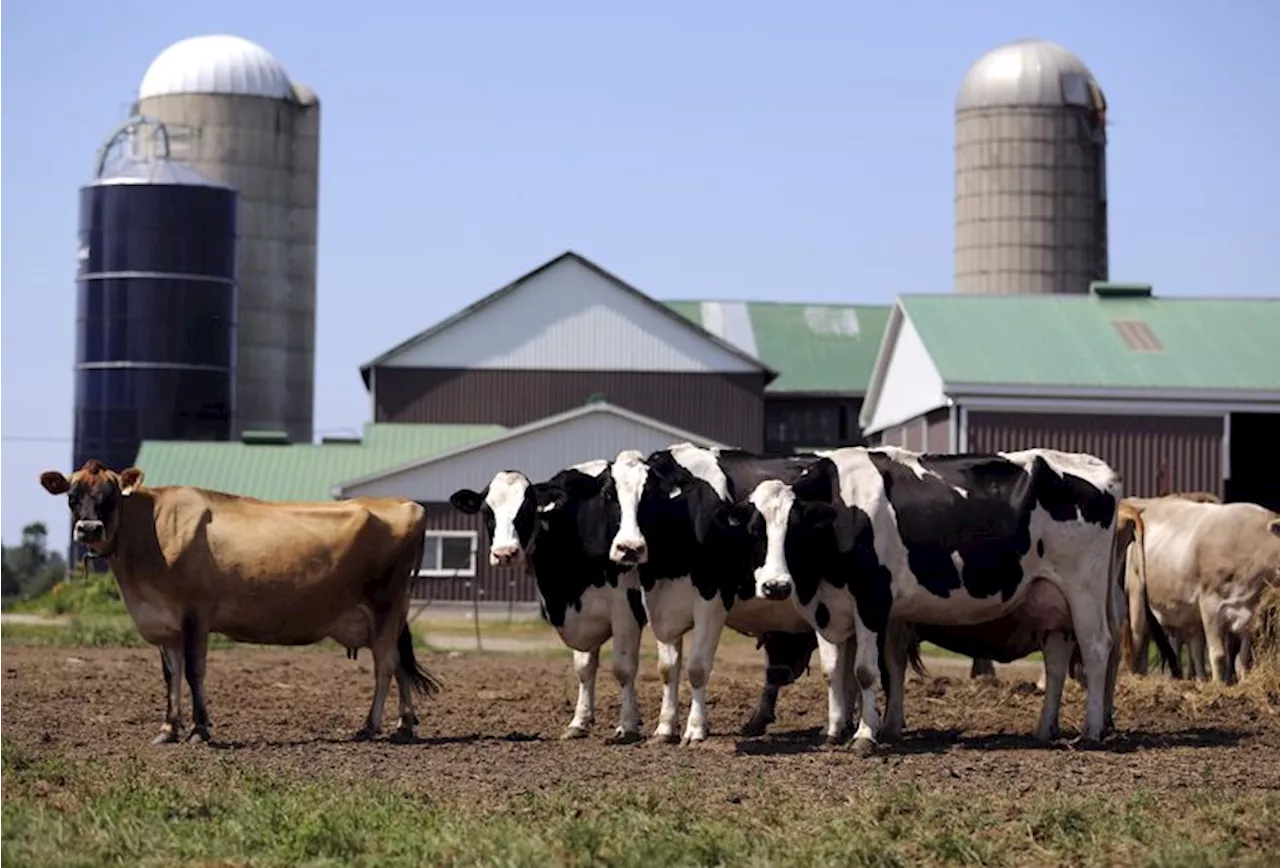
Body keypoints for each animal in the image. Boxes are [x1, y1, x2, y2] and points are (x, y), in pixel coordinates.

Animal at [40, 463, 440, 747]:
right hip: (385, 616)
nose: (88, 529)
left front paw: (200, 730)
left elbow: (194, 671)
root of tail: (406, 503)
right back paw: (404, 725)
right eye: (72, 495)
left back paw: (370, 725)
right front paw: (168, 729)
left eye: (110, 495)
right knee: (399, 664)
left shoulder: (195, 615)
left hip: (386, 605)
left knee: (385, 665)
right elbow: (171, 673)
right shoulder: (164, 622)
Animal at [450, 463, 650, 742]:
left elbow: (623, 667)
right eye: (487, 512)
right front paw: (579, 722)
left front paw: (629, 726)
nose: (504, 553)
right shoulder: (581, 613)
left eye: (525, 509)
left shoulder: (625, 608)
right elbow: (584, 667)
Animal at [601, 445, 844, 742]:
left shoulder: (712, 603)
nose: (629, 548)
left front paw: (695, 728)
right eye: (610, 495)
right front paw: (665, 727)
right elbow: (667, 669)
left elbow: (696, 668)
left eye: (648, 495)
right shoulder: (661, 606)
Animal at [721, 448, 1131, 752]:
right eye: (755, 531)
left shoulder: (872, 599)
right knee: (1057, 662)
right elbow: (834, 670)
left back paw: (1091, 731)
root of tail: (1097, 468)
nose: (775, 586)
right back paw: (1045, 730)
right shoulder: (828, 605)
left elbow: (865, 671)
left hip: (1084, 591)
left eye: (795, 529)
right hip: (1051, 601)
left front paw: (864, 736)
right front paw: (834, 730)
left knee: (1097, 650)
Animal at [1121, 496, 1280, 686]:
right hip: (1136, 595)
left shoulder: (1249, 612)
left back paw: (1199, 679)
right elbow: (1218, 653)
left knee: (1192, 647)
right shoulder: (1210, 604)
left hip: (1187, 614)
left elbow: (1242, 657)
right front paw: (1218, 685)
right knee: (1138, 637)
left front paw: (1243, 682)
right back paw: (1136, 676)